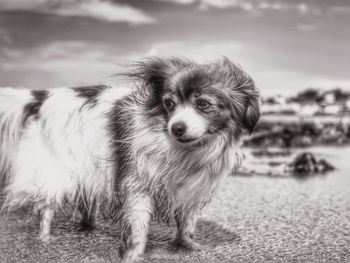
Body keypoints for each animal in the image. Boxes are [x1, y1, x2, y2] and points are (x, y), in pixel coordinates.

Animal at [0, 56, 260, 262]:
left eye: (203, 104)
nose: (176, 127)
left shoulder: (191, 188)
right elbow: (139, 225)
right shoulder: (139, 184)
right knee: (46, 206)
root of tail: (43, 97)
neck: (184, 150)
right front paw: (134, 254)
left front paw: (188, 245)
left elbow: (186, 221)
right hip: (58, 168)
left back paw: (88, 225)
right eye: (169, 104)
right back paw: (44, 239)